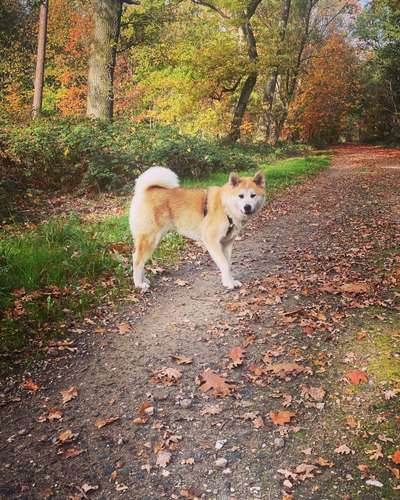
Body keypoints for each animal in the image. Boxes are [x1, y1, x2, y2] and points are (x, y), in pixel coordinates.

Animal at [129, 167, 266, 292]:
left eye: (253, 195)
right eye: (241, 196)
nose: (247, 207)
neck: (225, 207)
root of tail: (146, 190)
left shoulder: (226, 243)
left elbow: (228, 265)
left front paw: (230, 281)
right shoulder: (211, 241)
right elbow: (224, 264)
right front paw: (229, 284)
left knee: (140, 260)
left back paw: (144, 280)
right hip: (150, 239)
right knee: (137, 260)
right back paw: (139, 284)